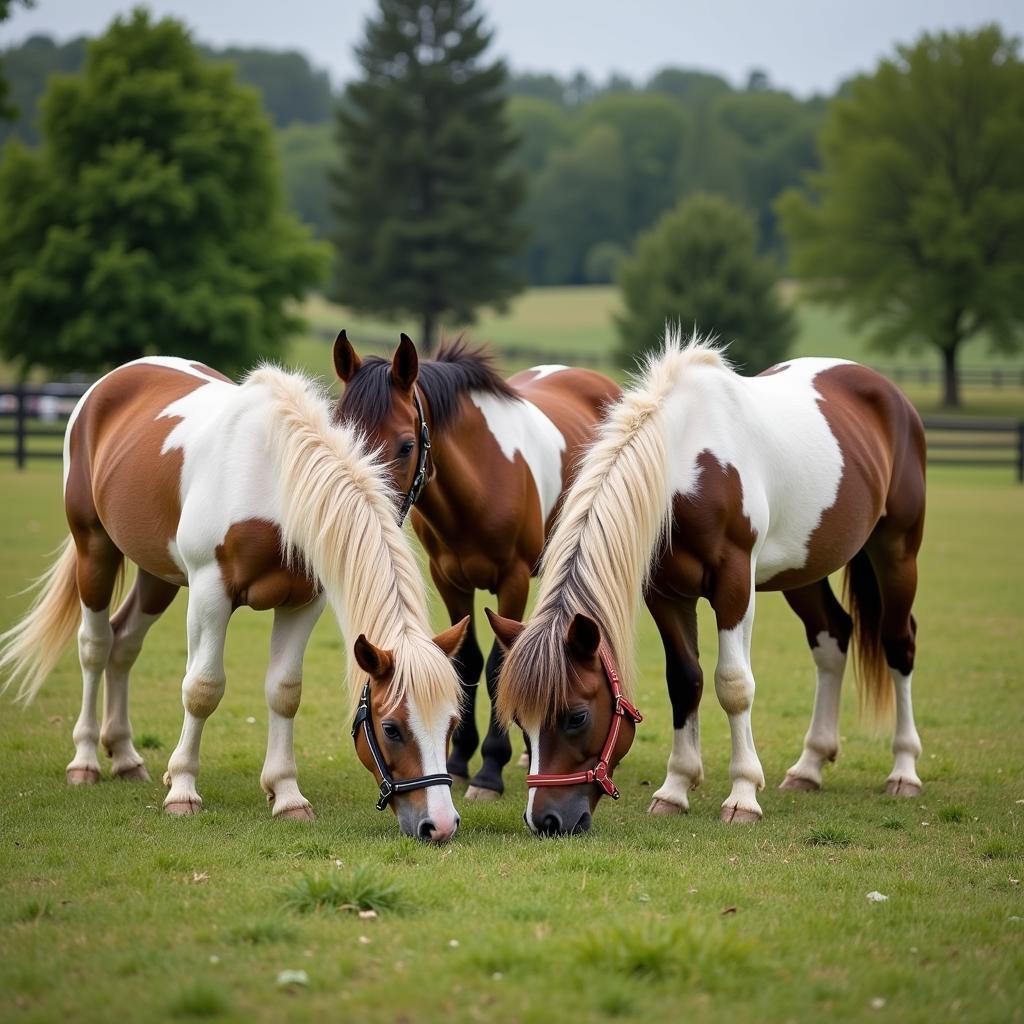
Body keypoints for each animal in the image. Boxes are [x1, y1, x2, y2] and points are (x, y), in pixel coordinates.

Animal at [1, 354, 468, 839]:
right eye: (391, 728)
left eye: (453, 723)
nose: (439, 824)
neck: (274, 480)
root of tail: (116, 377)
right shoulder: (211, 592)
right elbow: (202, 688)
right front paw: (182, 789)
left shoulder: (304, 603)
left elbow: (285, 691)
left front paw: (286, 795)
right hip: (94, 548)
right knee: (95, 646)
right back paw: (86, 760)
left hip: (157, 575)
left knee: (124, 643)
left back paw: (127, 757)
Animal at [331, 331, 618, 794]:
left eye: (406, 445)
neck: (482, 478)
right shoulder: (450, 580)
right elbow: (467, 661)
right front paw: (461, 758)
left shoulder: (513, 579)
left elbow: (500, 665)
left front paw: (489, 771)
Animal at [493, 331, 929, 835]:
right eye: (520, 721)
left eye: (576, 716)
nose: (545, 820)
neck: (687, 459)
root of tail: (887, 391)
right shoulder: (665, 593)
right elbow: (684, 680)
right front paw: (675, 789)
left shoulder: (734, 584)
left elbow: (733, 685)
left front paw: (742, 796)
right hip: (802, 571)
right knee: (832, 639)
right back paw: (808, 767)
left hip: (896, 552)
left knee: (899, 643)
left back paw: (904, 771)